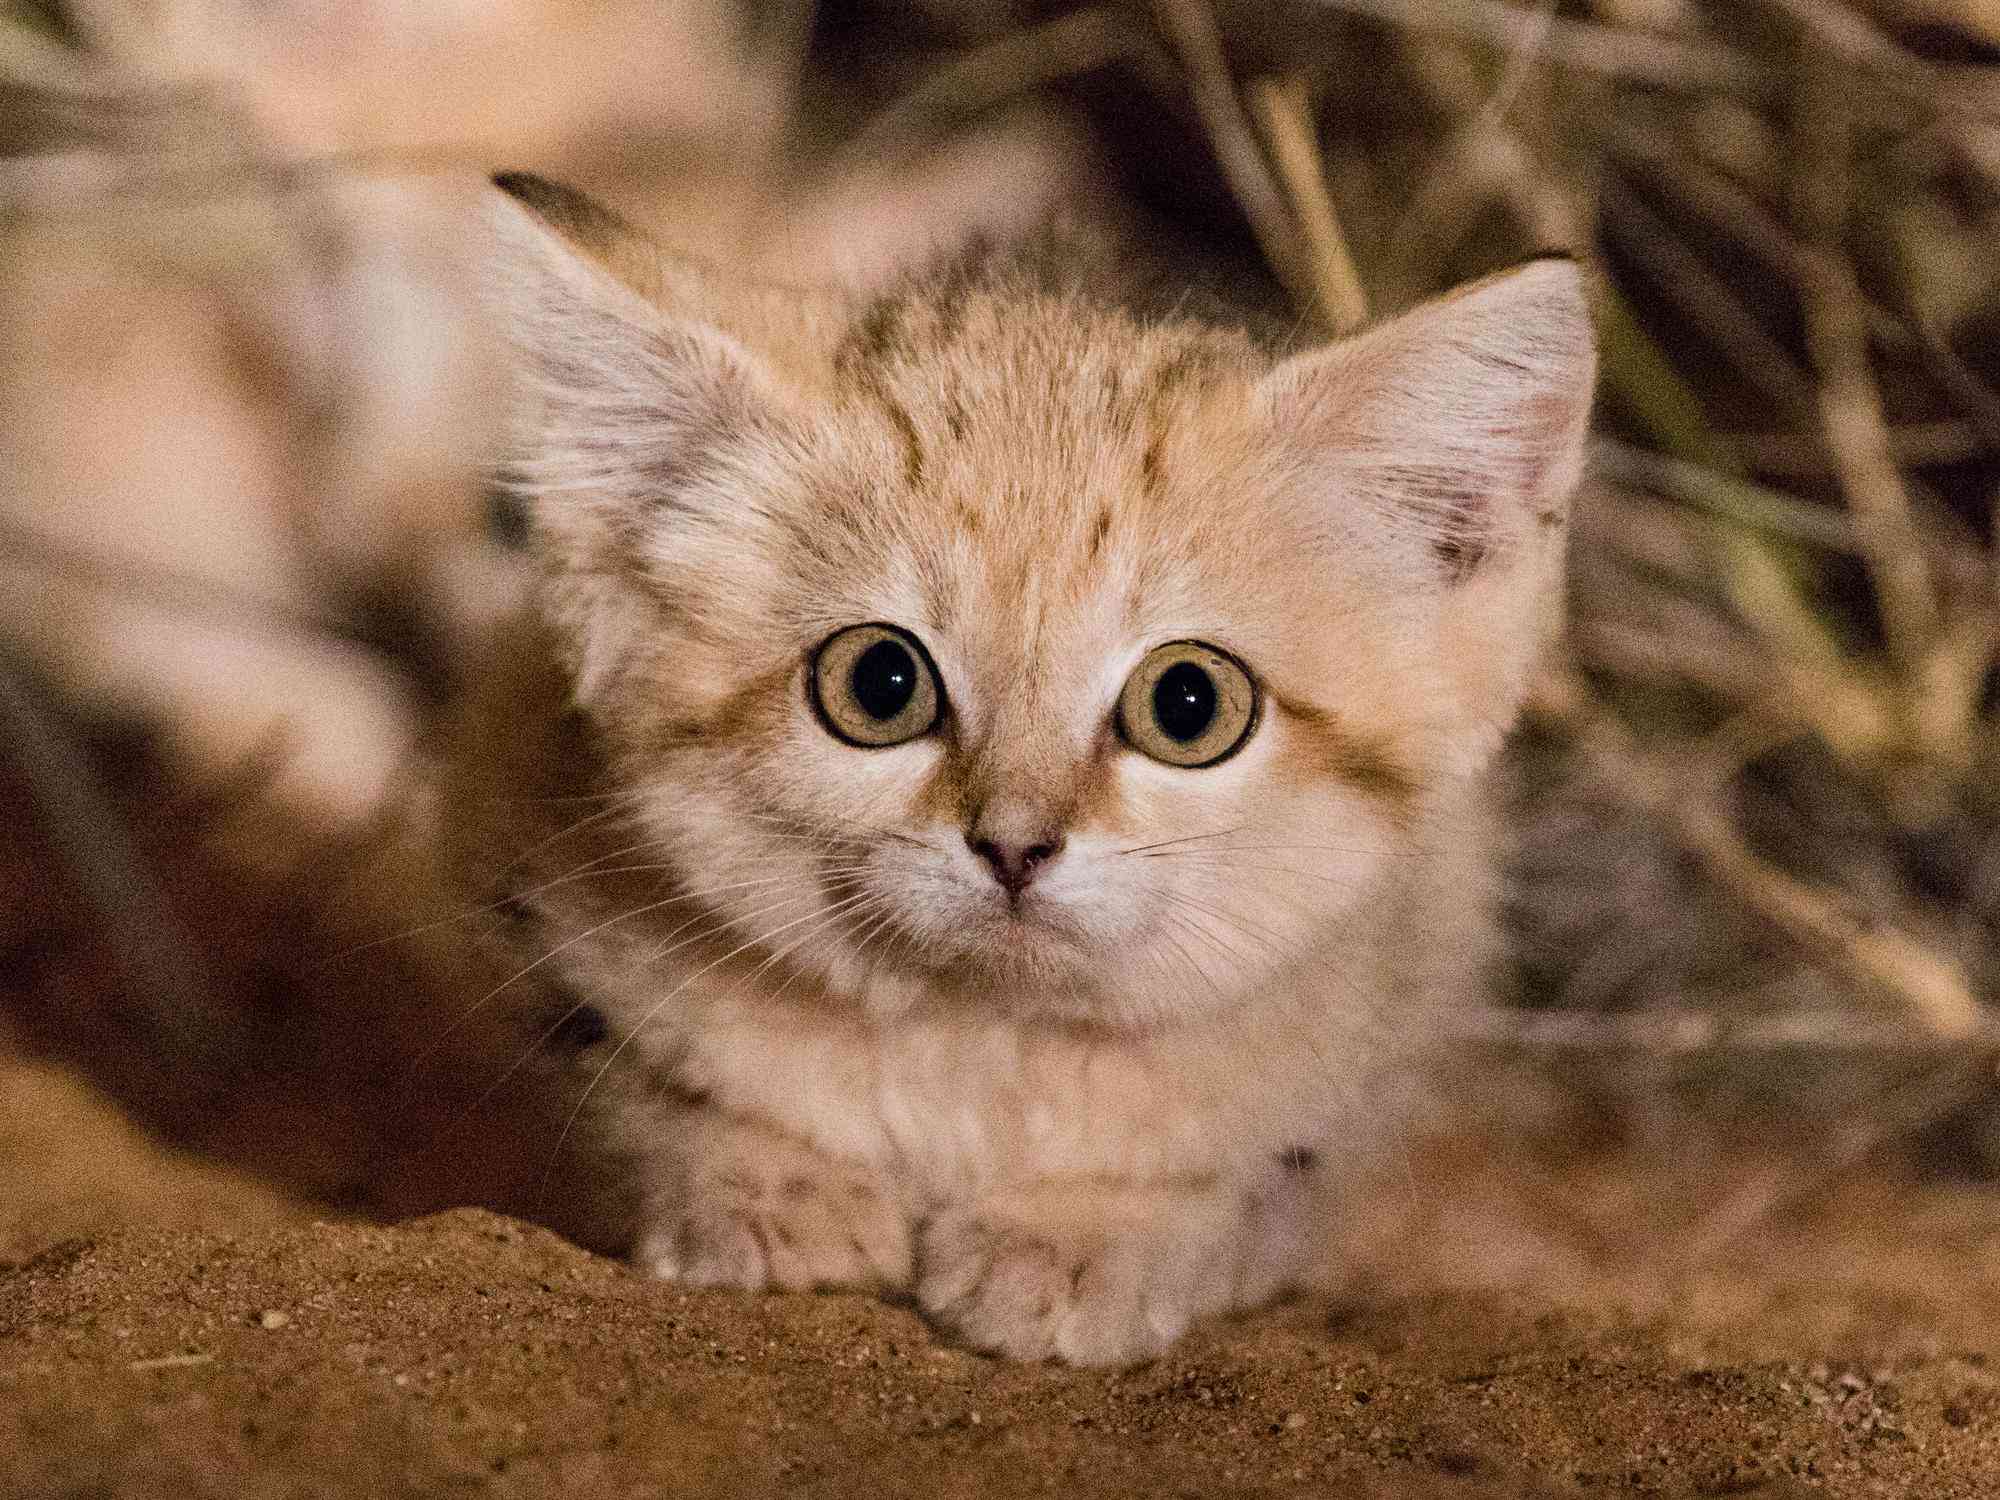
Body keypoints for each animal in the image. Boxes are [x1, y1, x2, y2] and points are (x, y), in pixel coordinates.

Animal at [464, 170, 1592, 1368]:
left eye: (1188, 703)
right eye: (879, 684)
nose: (1013, 845)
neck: (981, 1051)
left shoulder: (1388, 1026)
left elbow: (1236, 1180)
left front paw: (1080, 1234)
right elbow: (645, 1095)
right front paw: (761, 1187)